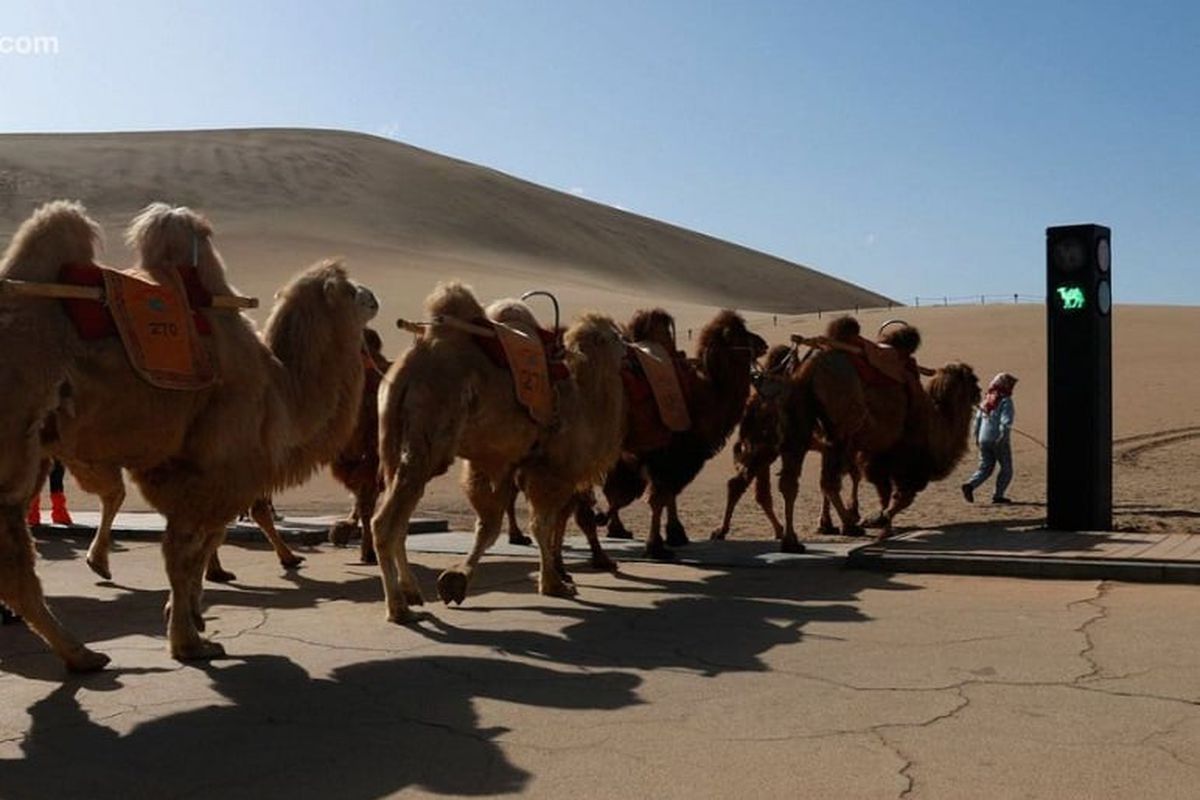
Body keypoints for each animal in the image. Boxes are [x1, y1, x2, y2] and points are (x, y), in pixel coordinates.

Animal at [0, 201, 374, 671]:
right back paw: (83, 653)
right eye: (349, 291)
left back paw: (78, 649)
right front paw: (189, 642)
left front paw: (191, 618)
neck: (280, 387)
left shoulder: (183, 469)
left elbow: (197, 547)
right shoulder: (213, 467)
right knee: (15, 561)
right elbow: (185, 554)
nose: (374, 296)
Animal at [369, 283, 624, 623]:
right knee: (385, 522)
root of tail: (406, 369)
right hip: (429, 440)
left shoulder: (501, 461)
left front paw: (456, 581)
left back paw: (412, 594)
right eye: (616, 336)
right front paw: (554, 584)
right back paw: (399, 609)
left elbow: (488, 527)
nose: (630, 349)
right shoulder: (551, 468)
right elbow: (540, 525)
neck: (583, 396)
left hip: (398, 442)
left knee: (401, 517)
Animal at [595, 309, 763, 561]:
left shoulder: (659, 456)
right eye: (741, 333)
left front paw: (674, 535)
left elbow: (662, 496)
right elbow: (659, 498)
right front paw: (657, 546)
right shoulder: (673, 454)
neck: (706, 393)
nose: (763, 343)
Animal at [772, 319, 979, 551]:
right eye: (973, 379)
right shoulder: (906, 458)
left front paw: (875, 520)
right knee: (829, 482)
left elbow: (883, 490)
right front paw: (881, 522)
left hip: (796, 421)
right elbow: (901, 497)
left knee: (791, 481)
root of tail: (809, 367)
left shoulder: (878, 453)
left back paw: (792, 540)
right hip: (839, 430)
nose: (980, 392)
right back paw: (849, 526)